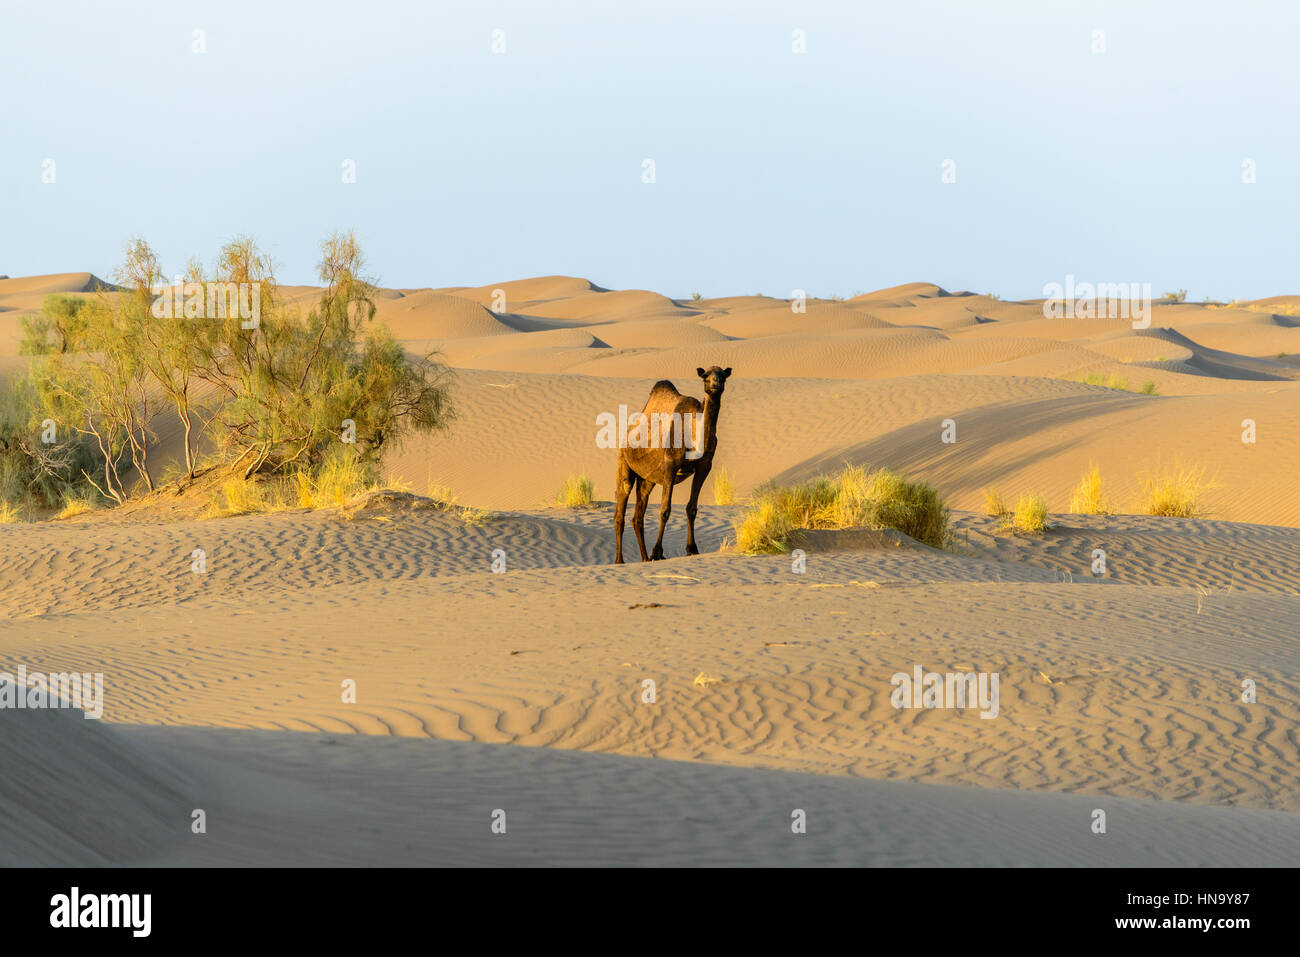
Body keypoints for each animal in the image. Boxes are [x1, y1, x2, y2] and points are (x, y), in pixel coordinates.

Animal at [611, 364, 728, 561]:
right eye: (705, 375)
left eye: (723, 376)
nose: (716, 385)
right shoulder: (670, 464)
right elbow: (665, 509)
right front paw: (657, 552)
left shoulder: (704, 466)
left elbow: (691, 508)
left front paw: (692, 549)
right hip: (623, 462)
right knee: (620, 512)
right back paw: (620, 561)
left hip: (647, 480)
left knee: (637, 517)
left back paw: (644, 559)